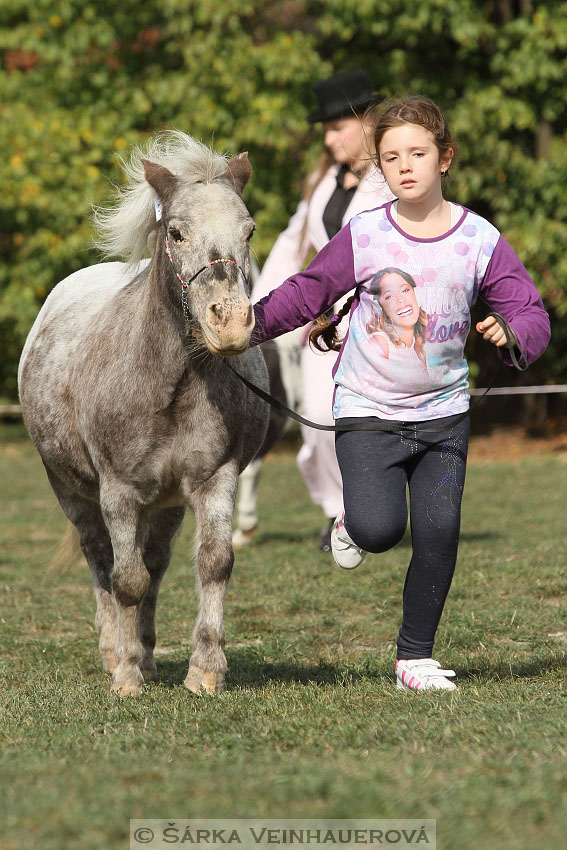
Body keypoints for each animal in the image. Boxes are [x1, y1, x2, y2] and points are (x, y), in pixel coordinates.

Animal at [18, 131, 272, 696]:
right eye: (175, 231)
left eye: (248, 230)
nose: (231, 323)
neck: (171, 386)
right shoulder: (118, 491)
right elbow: (125, 579)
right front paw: (127, 674)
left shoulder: (215, 480)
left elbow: (212, 563)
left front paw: (204, 670)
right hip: (72, 491)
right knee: (102, 561)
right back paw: (117, 650)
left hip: (166, 504)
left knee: (154, 564)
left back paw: (152, 654)